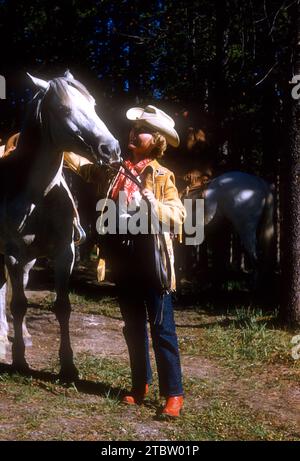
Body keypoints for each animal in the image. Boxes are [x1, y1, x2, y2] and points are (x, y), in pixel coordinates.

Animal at [0, 70, 120, 380]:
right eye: (63, 109)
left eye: (93, 104)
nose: (111, 149)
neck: (38, 195)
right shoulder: (14, 254)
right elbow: (19, 304)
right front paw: (19, 360)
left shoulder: (65, 253)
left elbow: (62, 306)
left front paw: (68, 366)